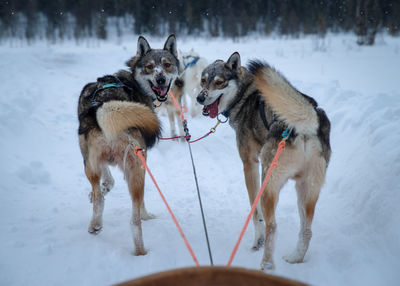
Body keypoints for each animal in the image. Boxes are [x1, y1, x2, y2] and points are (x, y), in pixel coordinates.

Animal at [77, 34, 180, 255]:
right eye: (150, 67)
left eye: (167, 64)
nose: (160, 79)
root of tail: (108, 107)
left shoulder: (89, 157)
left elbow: (106, 181)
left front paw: (102, 188)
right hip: (137, 169)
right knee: (134, 218)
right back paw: (141, 248)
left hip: (101, 165)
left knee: (103, 203)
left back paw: (96, 224)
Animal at [197, 53, 332, 270]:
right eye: (203, 80)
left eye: (219, 82)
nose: (200, 98)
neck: (244, 95)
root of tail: (308, 123)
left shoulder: (250, 164)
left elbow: (255, 211)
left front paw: (256, 241)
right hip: (306, 189)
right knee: (307, 230)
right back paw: (295, 258)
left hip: (269, 184)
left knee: (273, 226)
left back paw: (266, 264)